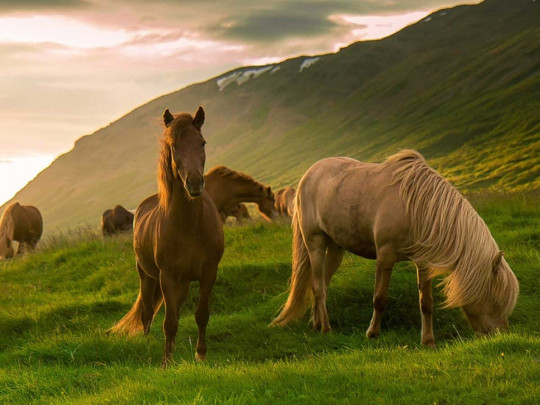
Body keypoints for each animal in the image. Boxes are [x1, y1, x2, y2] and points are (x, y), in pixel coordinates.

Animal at [109, 105, 224, 364]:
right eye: (173, 146)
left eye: (202, 143)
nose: (194, 183)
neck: (190, 227)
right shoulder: (168, 278)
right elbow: (169, 323)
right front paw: (166, 362)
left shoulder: (208, 273)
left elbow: (202, 315)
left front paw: (201, 354)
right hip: (146, 276)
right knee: (147, 313)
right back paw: (148, 343)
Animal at [272, 150, 520, 346]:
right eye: (495, 298)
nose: (501, 335)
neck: (417, 207)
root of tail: (309, 174)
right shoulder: (385, 256)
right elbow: (380, 298)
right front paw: (372, 333)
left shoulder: (423, 263)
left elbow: (426, 302)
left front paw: (428, 340)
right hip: (315, 242)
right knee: (317, 286)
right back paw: (325, 328)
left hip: (335, 248)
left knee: (322, 282)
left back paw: (316, 324)